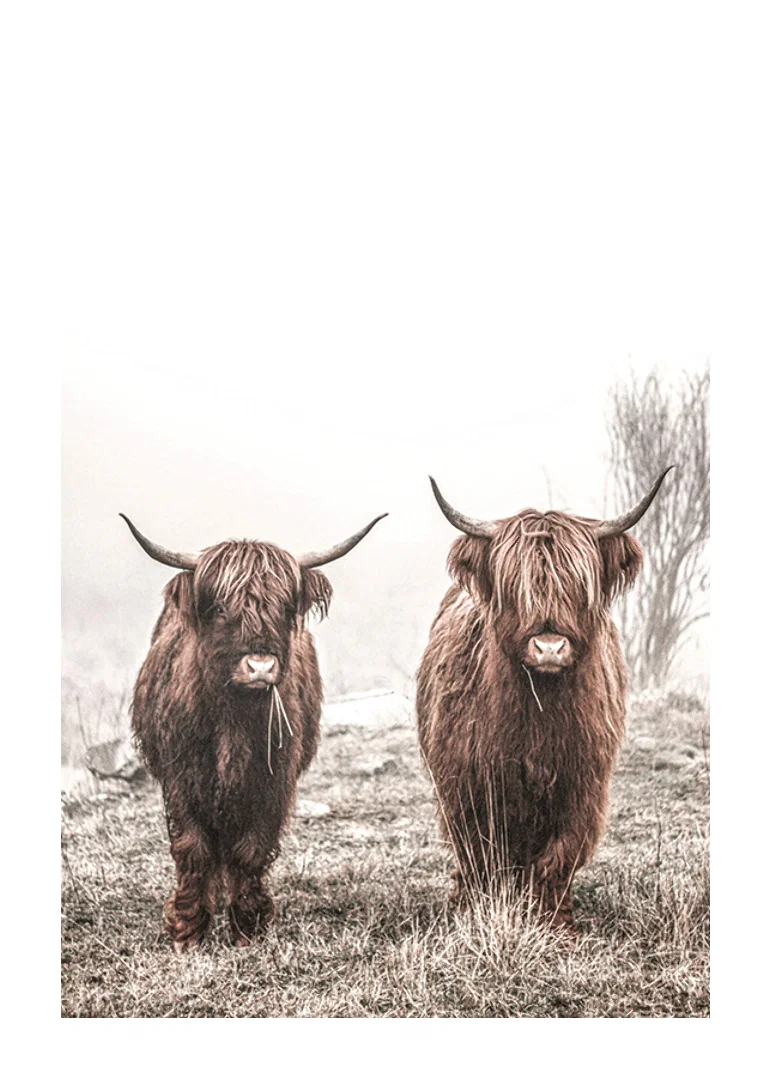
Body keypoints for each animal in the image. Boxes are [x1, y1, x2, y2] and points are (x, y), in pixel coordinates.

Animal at [122, 509, 386, 952]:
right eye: (220, 608)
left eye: (284, 606)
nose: (260, 667)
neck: (234, 719)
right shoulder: (181, 779)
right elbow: (193, 847)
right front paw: (188, 929)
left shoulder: (273, 781)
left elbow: (251, 849)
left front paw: (248, 926)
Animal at [416, 470, 672, 934]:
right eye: (515, 588)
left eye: (578, 586)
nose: (549, 647)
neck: (539, 714)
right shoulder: (467, 786)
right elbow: (481, 855)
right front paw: (478, 913)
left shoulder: (583, 786)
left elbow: (558, 858)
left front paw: (556, 925)